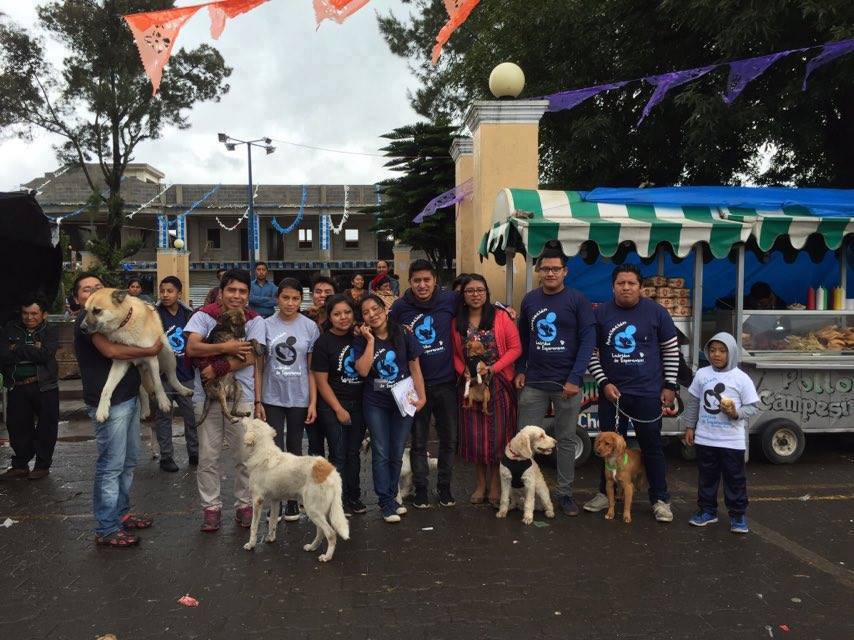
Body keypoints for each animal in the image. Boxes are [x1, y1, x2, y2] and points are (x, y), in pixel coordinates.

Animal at [242, 420, 350, 560]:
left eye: (251, 420)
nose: (244, 417)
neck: (263, 450)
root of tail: (331, 472)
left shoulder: (257, 500)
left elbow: (253, 527)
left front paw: (251, 544)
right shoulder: (275, 501)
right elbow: (272, 522)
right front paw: (271, 538)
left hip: (313, 510)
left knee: (331, 534)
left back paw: (326, 557)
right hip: (318, 511)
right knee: (321, 532)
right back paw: (312, 547)